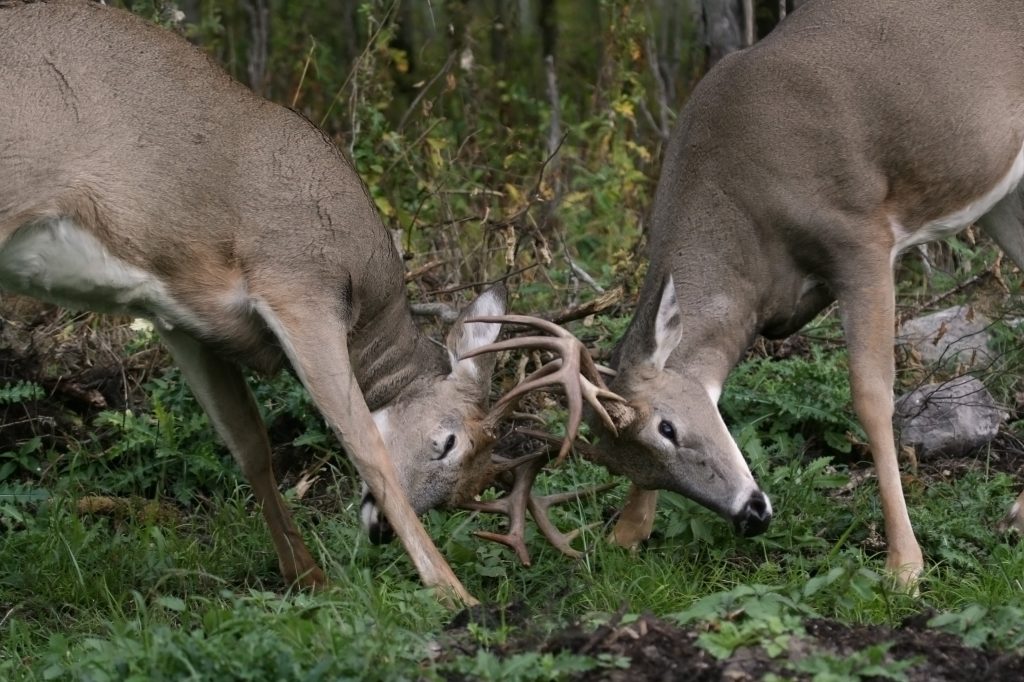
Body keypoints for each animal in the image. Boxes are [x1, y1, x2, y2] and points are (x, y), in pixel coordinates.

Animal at [0, 0, 614, 606]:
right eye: (447, 442)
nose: (380, 530)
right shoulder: (297, 282)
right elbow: (363, 442)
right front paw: (454, 594)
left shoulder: (179, 315)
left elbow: (249, 442)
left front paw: (308, 577)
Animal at [577, 0, 1024, 585]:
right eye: (635, 466)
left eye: (667, 427)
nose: (751, 514)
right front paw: (627, 533)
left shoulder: (860, 238)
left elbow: (871, 396)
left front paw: (904, 565)